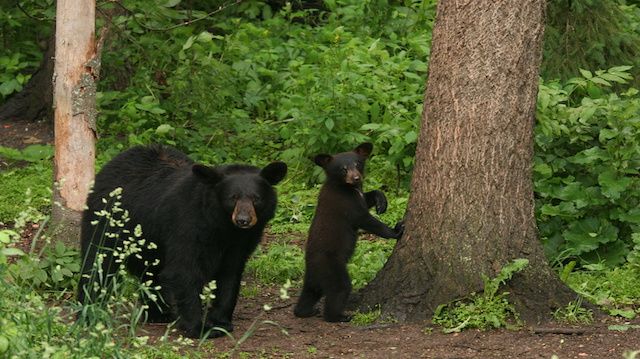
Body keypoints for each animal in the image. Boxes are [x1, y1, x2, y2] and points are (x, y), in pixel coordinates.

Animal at [76, 145, 286, 338]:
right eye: (232, 198)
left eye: (256, 198)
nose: (243, 220)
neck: (223, 227)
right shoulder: (188, 225)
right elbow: (184, 270)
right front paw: (200, 328)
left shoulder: (242, 242)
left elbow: (230, 274)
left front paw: (221, 322)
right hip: (109, 219)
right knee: (98, 261)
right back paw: (89, 312)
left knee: (150, 272)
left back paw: (159, 313)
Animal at [294, 143, 402, 324]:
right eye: (343, 168)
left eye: (357, 164)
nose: (357, 178)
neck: (346, 187)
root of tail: (310, 265)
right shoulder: (345, 204)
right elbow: (365, 219)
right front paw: (396, 230)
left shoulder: (357, 195)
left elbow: (367, 197)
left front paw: (381, 201)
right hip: (332, 267)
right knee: (340, 289)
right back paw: (339, 316)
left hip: (313, 278)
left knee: (310, 292)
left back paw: (305, 311)